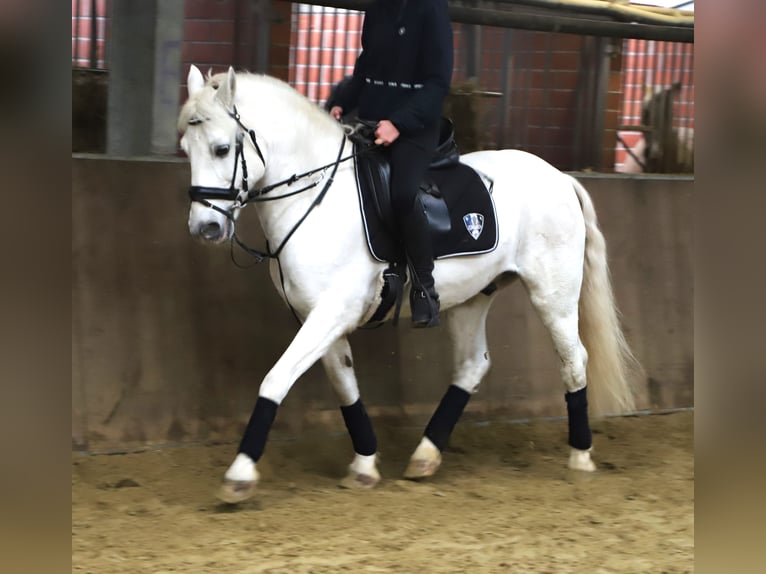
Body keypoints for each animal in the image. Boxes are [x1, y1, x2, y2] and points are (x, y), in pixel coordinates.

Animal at [178, 65, 638, 503]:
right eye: (185, 149)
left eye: (222, 148)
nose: (205, 228)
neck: (315, 198)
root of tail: (560, 177)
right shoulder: (318, 316)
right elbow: (345, 385)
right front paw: (364, 463)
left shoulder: (332, 312)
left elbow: (275, 380)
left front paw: (239, 474)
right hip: (472, 297)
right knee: (472, 364)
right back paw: (425, 455)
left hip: (552, 294)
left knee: (573, 360)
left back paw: (580, 457)